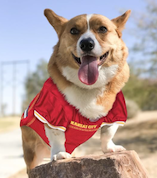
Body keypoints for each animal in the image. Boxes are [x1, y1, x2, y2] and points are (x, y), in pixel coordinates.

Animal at [20, 9, 131, 173]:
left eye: (103, 29)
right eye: (73, 31)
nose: (86, 44)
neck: (89, 87)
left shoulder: (116, 113)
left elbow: (108, 133)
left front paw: (110, 148)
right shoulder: (52, 114)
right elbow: (57, 136)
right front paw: (59, 154)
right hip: (33, 152)